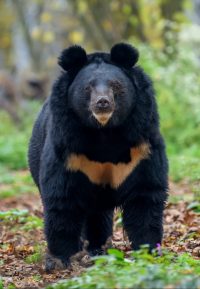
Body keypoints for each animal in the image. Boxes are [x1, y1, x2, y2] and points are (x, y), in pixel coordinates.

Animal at [28, 42, 168, 270]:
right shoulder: (67, 148)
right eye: (87, 88)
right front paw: (59, 260)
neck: (104, 131)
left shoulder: (141, 144)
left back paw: (98, 249)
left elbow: (145, 194)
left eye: (115, 85)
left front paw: (148, 251)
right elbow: (62, 198)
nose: (102, 102)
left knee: (98, 216)